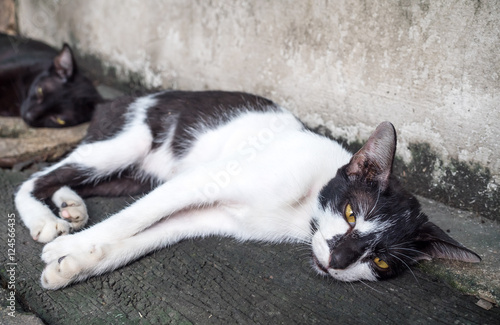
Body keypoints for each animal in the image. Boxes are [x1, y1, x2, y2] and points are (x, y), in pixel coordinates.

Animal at [13, 89, 478, 288]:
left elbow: (141, 239)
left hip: (135, 173)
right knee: (38, 177)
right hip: (126, 143)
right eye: (351, 214)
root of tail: (109, 99)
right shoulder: (201, 180)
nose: (339, 262)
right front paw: (63, 250)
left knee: (80, 180)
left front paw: (73, 265)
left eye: (380, 262)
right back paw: (45, 222)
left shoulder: (210, 217)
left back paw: (70, 206)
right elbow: (132, 219)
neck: (301, 212)